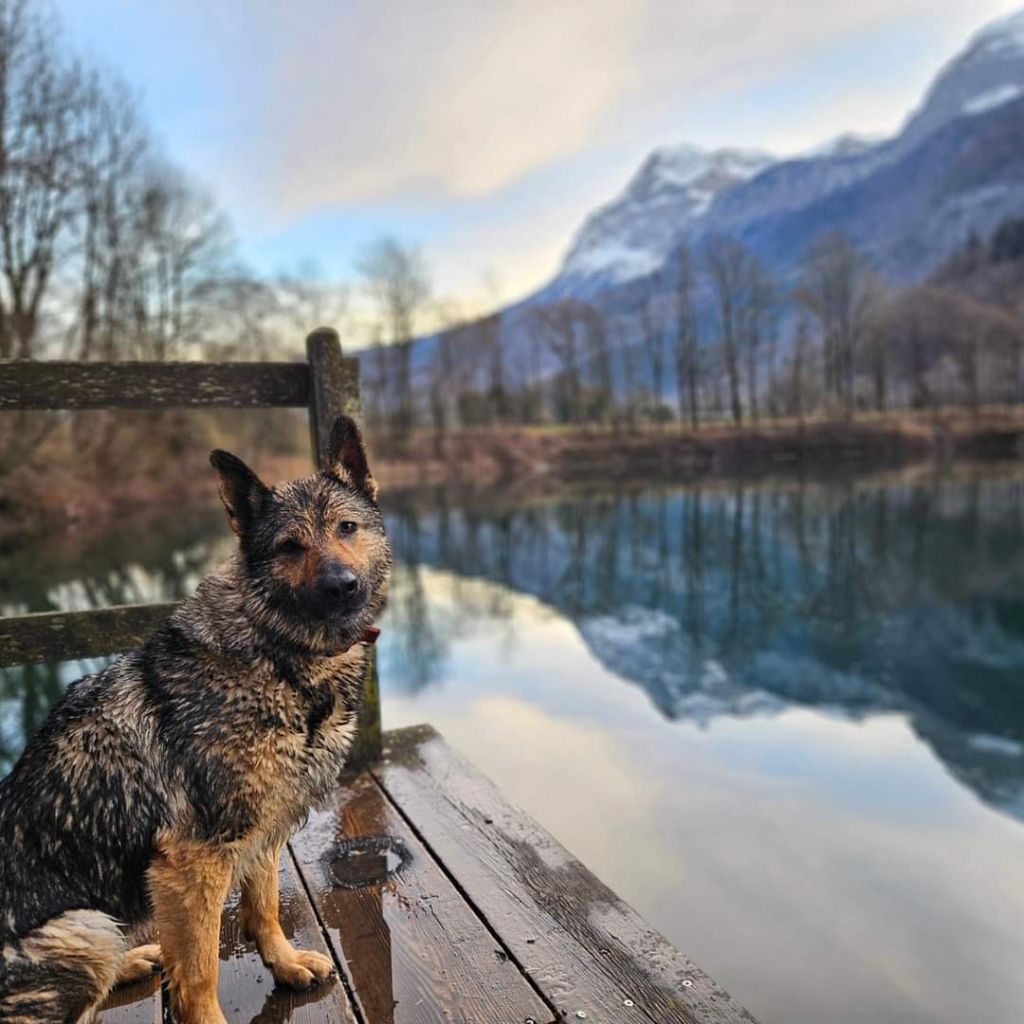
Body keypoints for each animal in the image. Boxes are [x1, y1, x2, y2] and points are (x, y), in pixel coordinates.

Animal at [0, 413, 391, 1024]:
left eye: (347, 528)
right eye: (289, 546)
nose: (341, 587)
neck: (276, 652)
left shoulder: (263, 829)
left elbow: (263, 908)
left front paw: (283, 964)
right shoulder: (193, 863)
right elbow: (200, 970)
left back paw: (133, 960)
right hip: (85, 927)